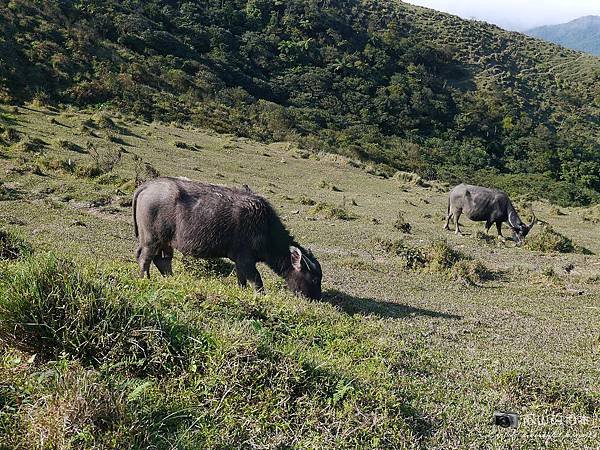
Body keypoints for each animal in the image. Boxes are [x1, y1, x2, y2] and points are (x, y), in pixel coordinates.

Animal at [132, 178, 324, 300]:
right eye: (315, 280)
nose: (316, 298)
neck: (265, 227)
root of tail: (146, 186)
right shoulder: (246, 260)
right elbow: (257, 281)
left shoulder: (240, 262)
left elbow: (242, 281)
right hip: (151, 240)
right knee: (144, 258)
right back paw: (145, 279)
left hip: (165, 242)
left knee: (162, 260)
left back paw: (171, 279)